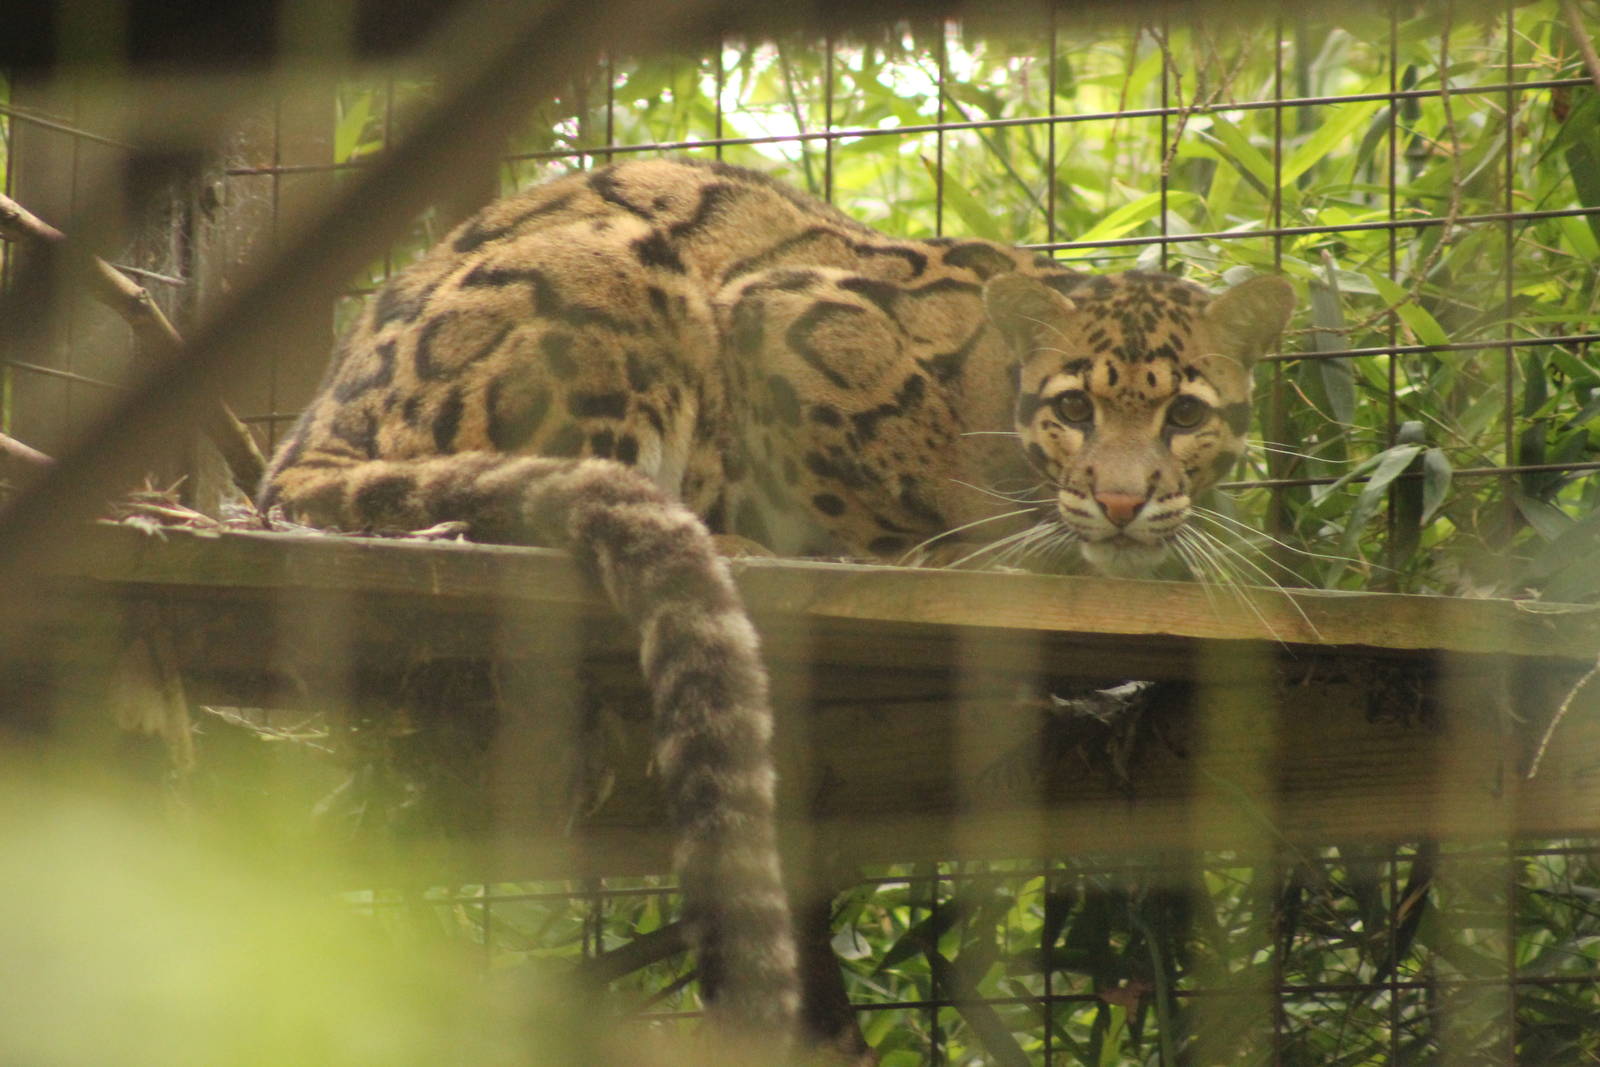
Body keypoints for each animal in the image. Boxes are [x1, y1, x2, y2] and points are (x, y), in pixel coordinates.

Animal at [258, 157, 1295, 1041]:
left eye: (1187, 414)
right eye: (1075, 407)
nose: (1121, 500)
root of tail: (309, 435)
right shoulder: (784, 323)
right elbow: (879, 499)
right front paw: (937, 548)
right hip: (610, 278)